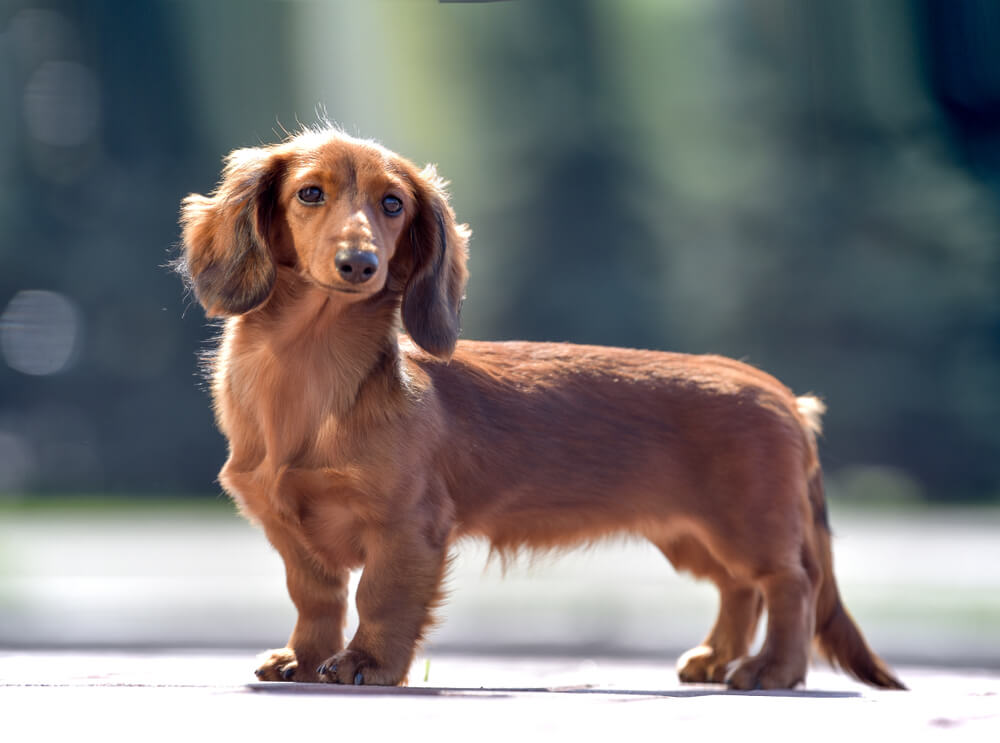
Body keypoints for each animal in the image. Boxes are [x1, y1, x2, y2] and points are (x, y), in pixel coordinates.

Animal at [180, 128, 908, 692]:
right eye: (310, 193)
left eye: (392, 203)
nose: (359, 263)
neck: (310, 378)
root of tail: (786, 397)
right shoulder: (288, 528)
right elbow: (316, 600)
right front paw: (303, 660)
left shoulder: (408, 525)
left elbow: (380, 598)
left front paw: (367, 662)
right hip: (693, 536)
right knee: (740, 589)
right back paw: (717, 657)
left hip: (747, 525)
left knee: (788, 584)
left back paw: (772, 670)